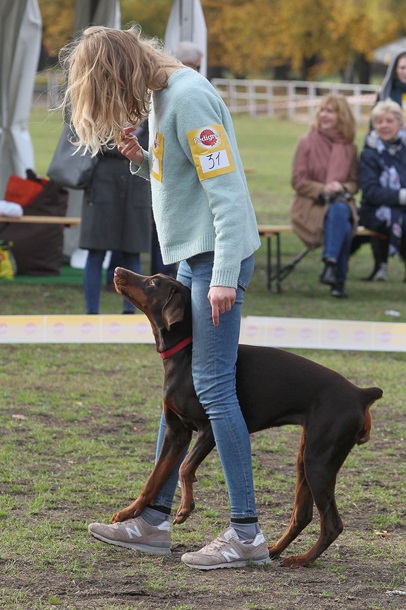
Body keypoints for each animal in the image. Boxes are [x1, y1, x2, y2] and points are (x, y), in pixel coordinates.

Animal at [111, 268, 380, 564]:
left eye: (152, 282)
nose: (118, 271)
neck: (185, 355)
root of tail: (360, 393)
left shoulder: (210, 428)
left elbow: (184, 468)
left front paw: (185, 507)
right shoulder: (176, 433)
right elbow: (154, 478)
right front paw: (128, 513)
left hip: (319, 461)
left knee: (332, 523)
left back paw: (301, 560)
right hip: (306, 457)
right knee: (302, 515)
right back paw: (274, 550)